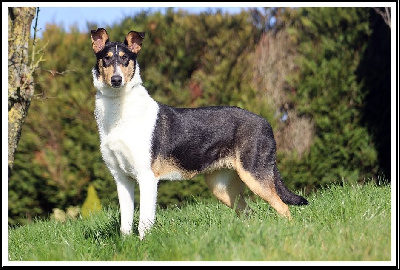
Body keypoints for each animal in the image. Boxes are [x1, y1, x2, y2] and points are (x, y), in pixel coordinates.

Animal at [91, 27, 310, 238]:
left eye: (125, 58)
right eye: (106, 58)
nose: (116, 79)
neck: (119, 110)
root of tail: (265, 121)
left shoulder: (147, 177)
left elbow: (144, 222)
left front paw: (145, 244)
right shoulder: (122, 179)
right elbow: (125, 225)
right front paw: (127, 245)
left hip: (255, 176)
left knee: (283, 208)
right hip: (222, 187)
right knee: (250, 213)